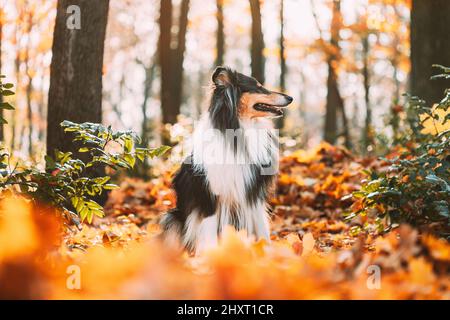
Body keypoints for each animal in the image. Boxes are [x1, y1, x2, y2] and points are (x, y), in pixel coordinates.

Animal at [160, 66, 294, 254]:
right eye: (258, 87)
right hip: (172, 217)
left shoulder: (252, 195)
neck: (240, 131)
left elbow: (262, 229)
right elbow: (209, 232)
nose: (290, 98)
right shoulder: (210, 197)